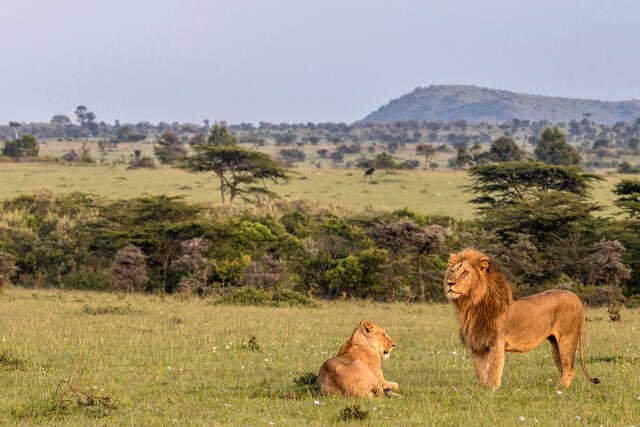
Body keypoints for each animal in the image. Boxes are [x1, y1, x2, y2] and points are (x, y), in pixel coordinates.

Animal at [445, 248, 599, 388]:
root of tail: (576, 298)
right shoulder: (478, 344)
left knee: (569, 367)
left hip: (567, 338)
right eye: (452, 271)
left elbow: (494, 370)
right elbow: (480, 371)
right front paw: (481, 390)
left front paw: (492, 390)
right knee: (562, 367)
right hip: (555, 343)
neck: (472, 304)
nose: (449, 283)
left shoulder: (497, 342)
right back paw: (556, 388)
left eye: (465, 272)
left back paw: (559, 390)